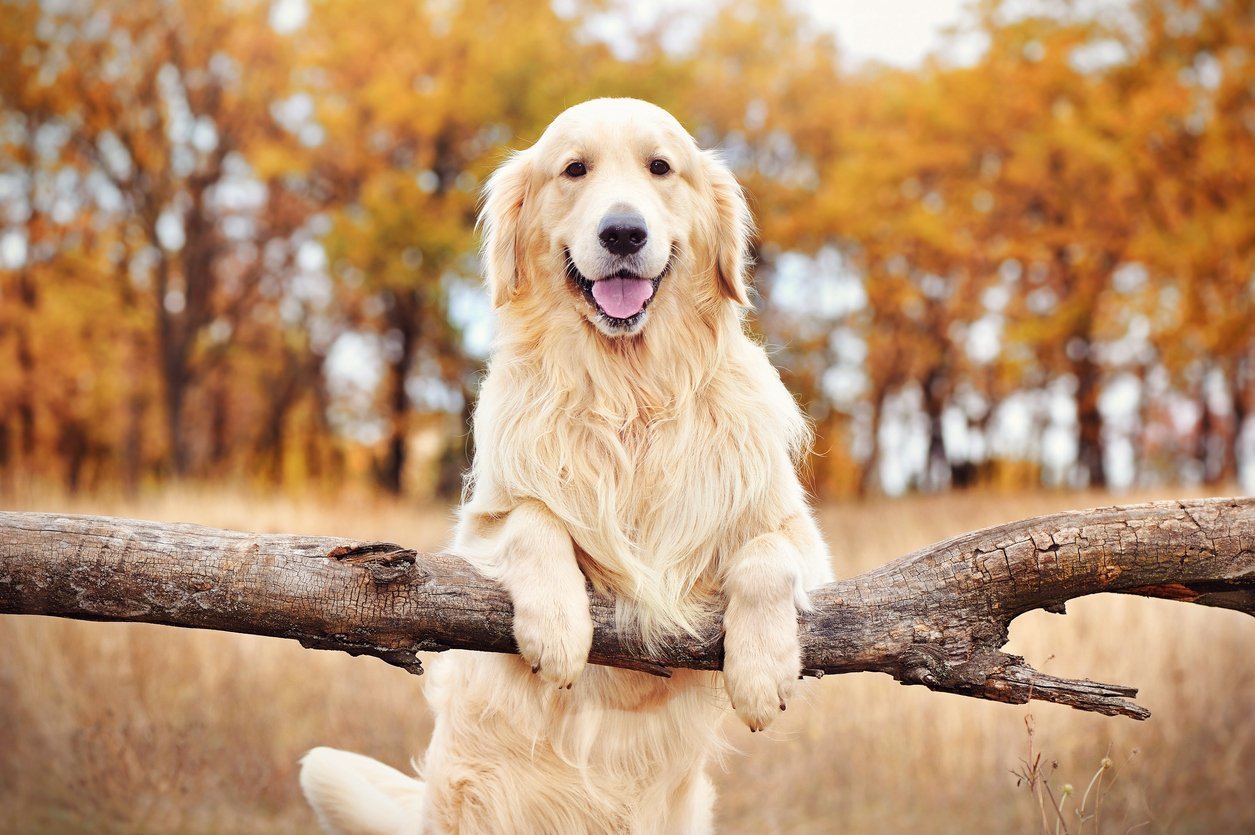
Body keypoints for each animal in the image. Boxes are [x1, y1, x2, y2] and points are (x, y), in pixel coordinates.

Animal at [296, 99, 833, 833]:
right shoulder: (480, 526)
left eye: (660, 167)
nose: (624, 232)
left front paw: (761, 672)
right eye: (574, 169)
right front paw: (556, 627)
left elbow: (765, 557)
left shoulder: (794, 529)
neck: (629, 393)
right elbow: (533, 519)